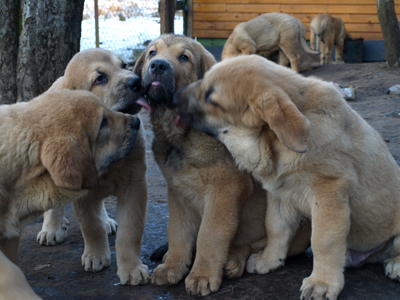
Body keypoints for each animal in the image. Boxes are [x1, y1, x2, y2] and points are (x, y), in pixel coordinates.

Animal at [37, 49, 150, 286]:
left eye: (124, 65)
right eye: (99, 79)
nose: (136, 82)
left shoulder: (135, 185)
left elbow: (130, 231)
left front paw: (132, 268)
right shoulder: (82, 193)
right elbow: (91, 225)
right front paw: (96, 255)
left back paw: (106, 221)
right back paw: (51, 228)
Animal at [133, 34, 310, 296]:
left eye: (184, 57)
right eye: (152, 53)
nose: (157, 66)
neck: (182, 135)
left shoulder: (227, 188)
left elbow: (210, 233)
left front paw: (202, 274)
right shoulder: (178, 190)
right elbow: (177, 231)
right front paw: (173, 266)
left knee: (249, 244)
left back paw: (233, 261)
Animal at [174, 54, 400, 300]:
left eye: (210, 98)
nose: (172, 96)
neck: (274, 143)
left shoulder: (329, 193)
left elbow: (324, 240)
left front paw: (322, 283)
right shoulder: (280, 195)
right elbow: (275, 228)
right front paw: (269, 261)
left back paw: (396, 264)